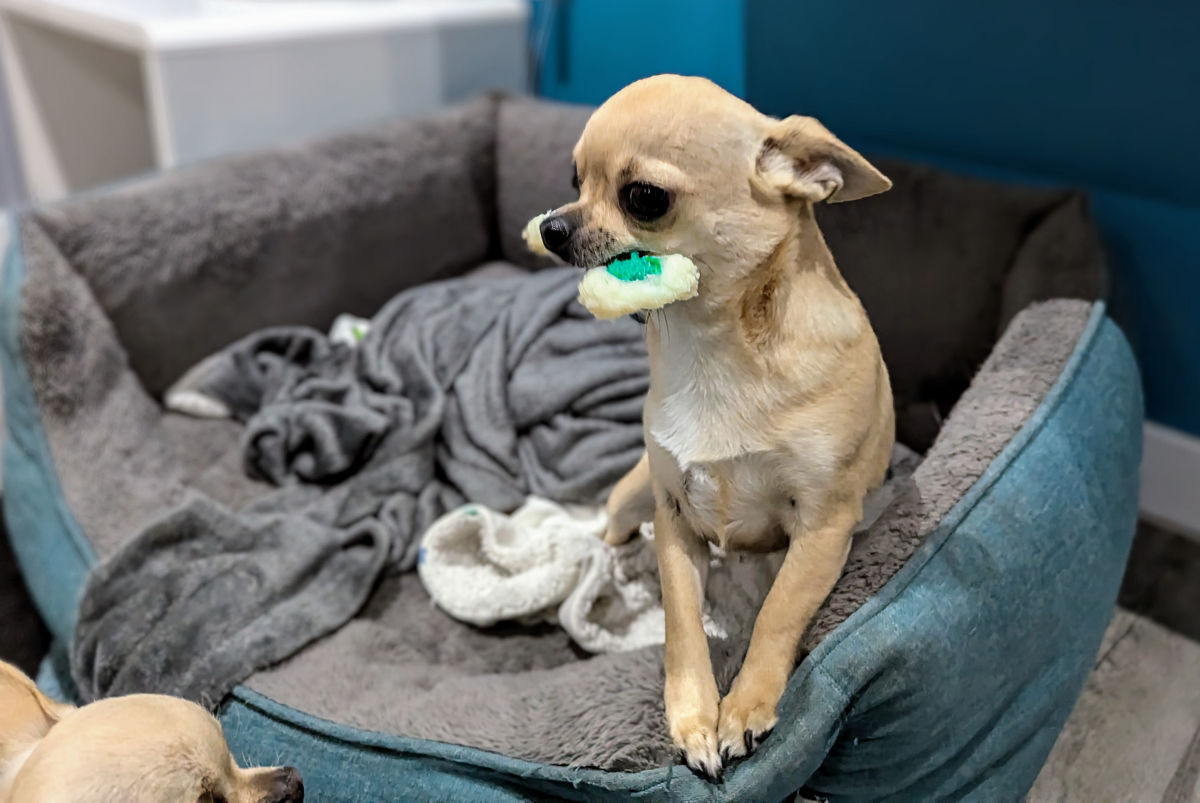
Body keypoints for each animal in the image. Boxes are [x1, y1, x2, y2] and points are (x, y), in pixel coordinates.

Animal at [535, 75, 892, 777]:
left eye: (643, 197)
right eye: (574, 179)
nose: (552, 225)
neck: (706, 347)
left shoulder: (824, 526)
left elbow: (779, 612)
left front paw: (747, 707)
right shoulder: (673, 516)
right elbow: (681, 622)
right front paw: (694, 717)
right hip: (632, 495)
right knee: (610, 534)